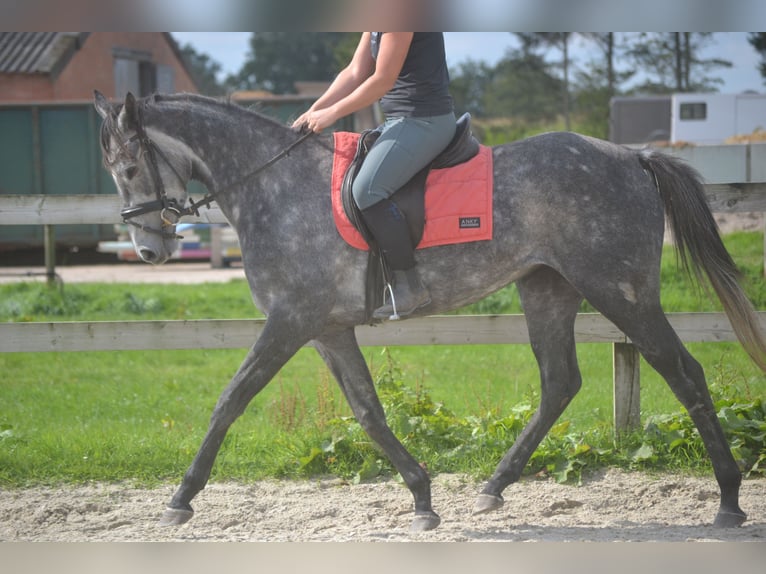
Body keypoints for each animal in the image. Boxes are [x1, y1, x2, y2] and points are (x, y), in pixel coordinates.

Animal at [96, 92, 766, 532]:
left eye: (128, 168)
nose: (149, 250)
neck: (273, 188)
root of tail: (634, 158)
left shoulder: (289, 323)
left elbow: (230, 400)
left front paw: (181, 498)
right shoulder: (328, 330)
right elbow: (367, 411)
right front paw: (421, 498)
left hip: (620, 291)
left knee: (682, 372)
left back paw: (729, 501)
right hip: (547, 288)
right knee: (560, 383)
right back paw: (493, 489)